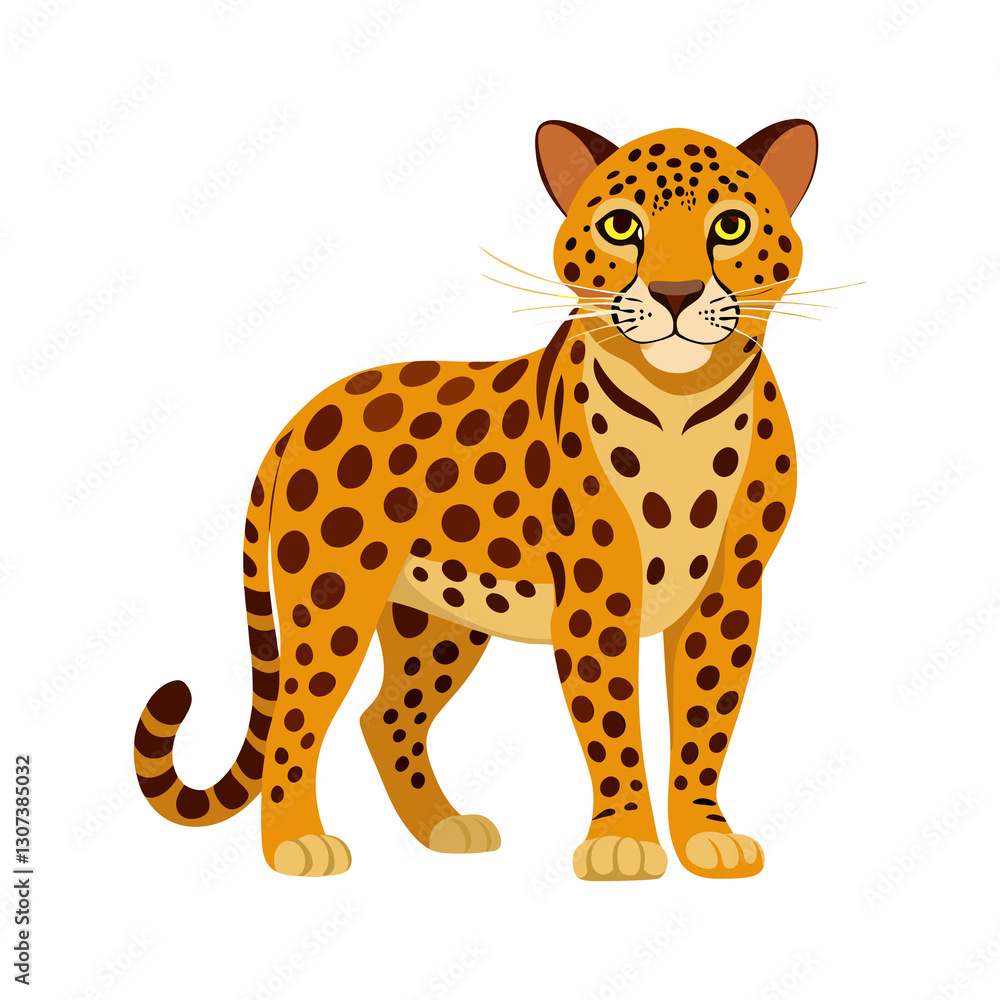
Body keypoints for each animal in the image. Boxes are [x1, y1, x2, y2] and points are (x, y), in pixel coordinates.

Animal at [133, 118, 817, 881]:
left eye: (730, 225)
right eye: (621, 226)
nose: (675, 292)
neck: (680, 407)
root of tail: (302, 414)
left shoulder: (730, 590)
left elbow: (706, 720)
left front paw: (704, 835)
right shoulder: (597, 596)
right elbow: (613, 722)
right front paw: (624, 843)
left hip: (441, 618)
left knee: (386, 715)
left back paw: (443, 828)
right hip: (331, 597)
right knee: (297, 718)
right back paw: (296, 845)